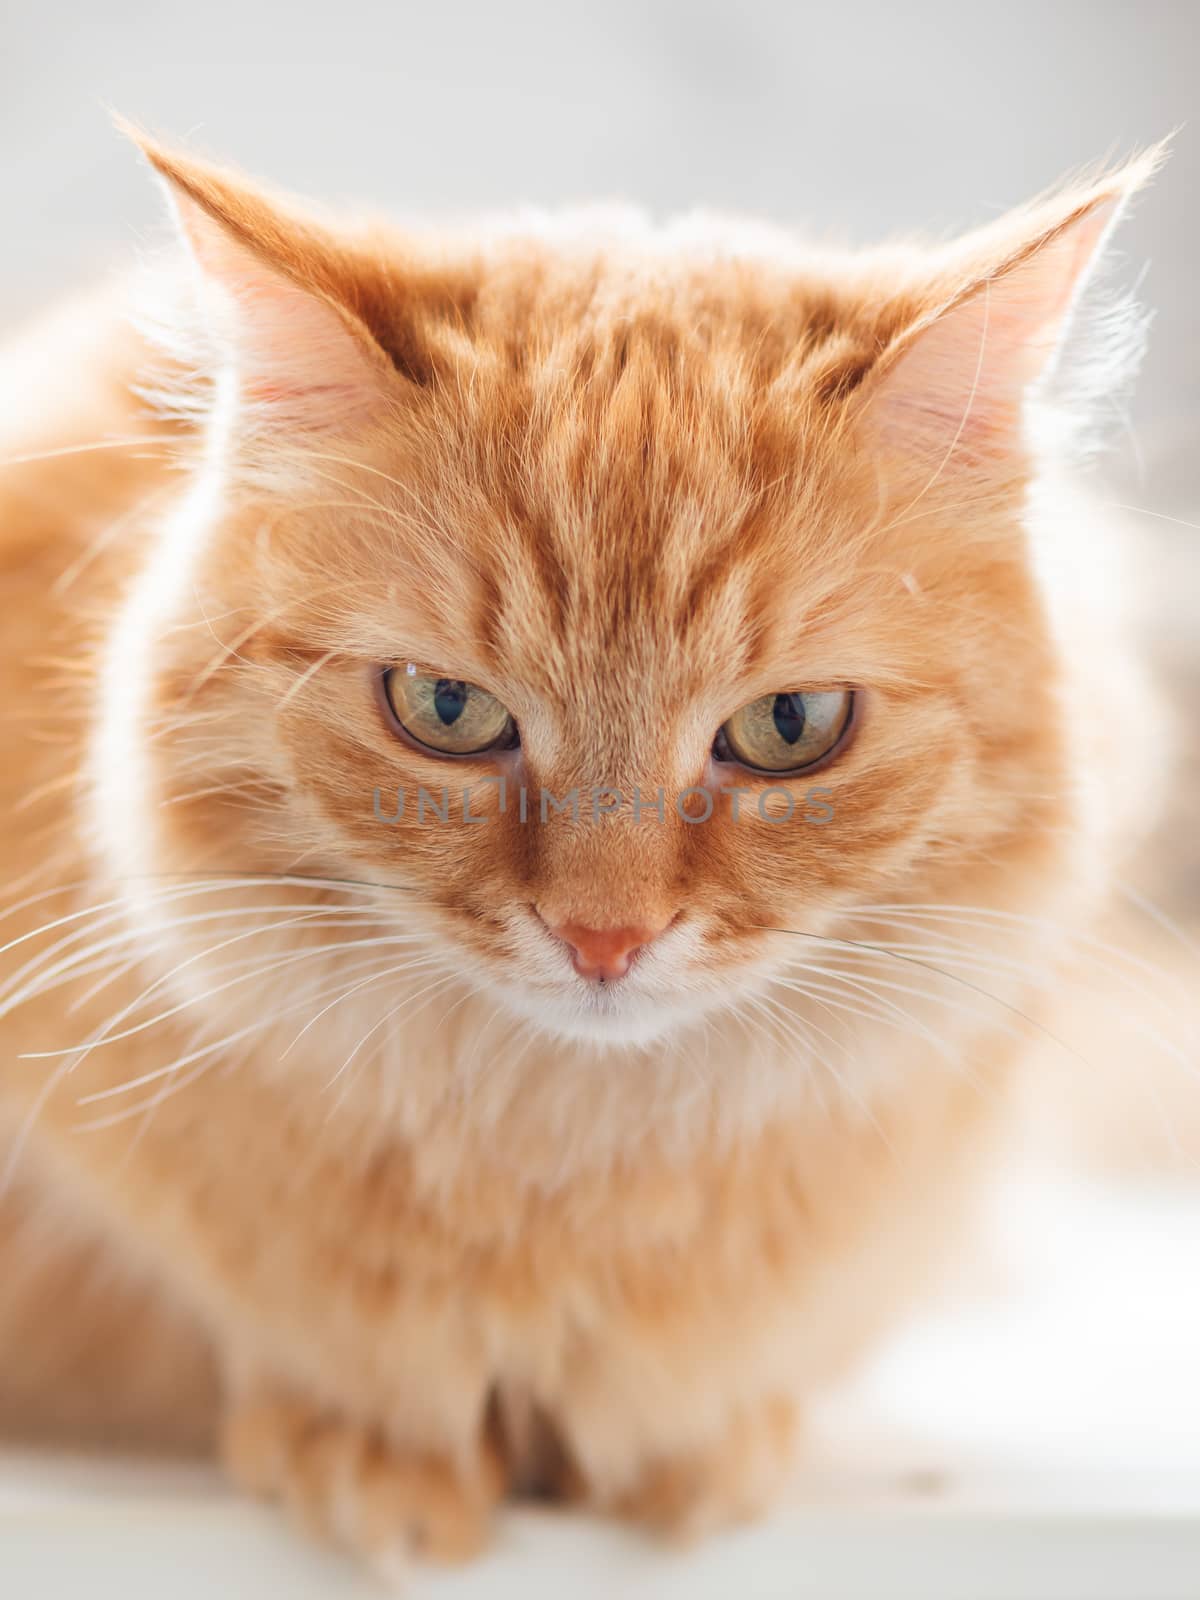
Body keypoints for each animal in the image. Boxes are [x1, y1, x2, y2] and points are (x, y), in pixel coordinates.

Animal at [0, 128, 1177, 1574]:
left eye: (790, 728)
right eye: (447, 712)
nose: (603, 940)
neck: (568, 1156)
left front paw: (702, 1450)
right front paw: (365, 1447)